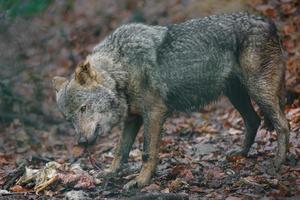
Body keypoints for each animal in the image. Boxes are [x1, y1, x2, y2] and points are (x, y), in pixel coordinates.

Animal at [53, 12, 288, 189]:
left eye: (84, 108)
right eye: (69, 119)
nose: (82, 142)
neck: (121, 69)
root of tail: (268, 22)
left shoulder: (154, 113)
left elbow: (147, 152)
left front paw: (140, 182)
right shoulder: (133, 119)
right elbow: (120, 151)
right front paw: (110, 173)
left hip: (259, 92)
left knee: (283, 124)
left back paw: (279, 162)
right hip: (237, 95)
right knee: (254, 121)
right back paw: (240, 154)